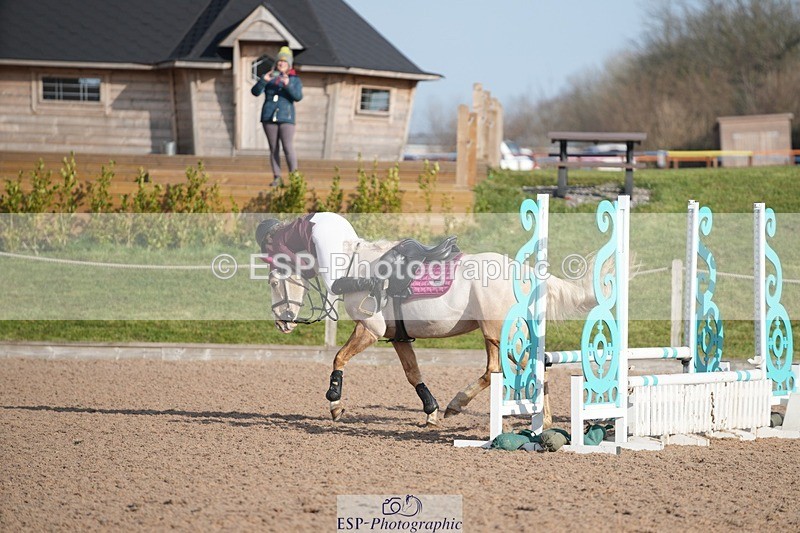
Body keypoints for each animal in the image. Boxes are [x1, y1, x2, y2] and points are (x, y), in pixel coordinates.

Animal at [267, 238, 597, 426]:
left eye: (273, 281)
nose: (282, 322)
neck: (357, 268)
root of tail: (523, 272)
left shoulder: (369, 329)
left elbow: (338, 358)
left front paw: (335, 402)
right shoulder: (397, 337)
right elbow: (413, 374)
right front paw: (432, 411)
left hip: (499, 334)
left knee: (526, 365)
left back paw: (542, 420)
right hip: (495, 335)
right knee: (497, 369)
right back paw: (459, 405)